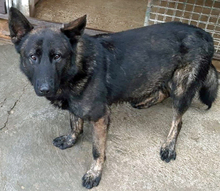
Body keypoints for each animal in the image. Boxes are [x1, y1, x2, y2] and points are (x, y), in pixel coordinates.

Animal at [8, 7, 218, 190]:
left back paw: (169, 145)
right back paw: (146, 101)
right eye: (33, 57)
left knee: (178, 121)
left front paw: (94, 173)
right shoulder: (76, 106)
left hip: (182, 87)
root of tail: (205, 33)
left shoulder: (100, 117)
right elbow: (75, 123)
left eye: (58, 56)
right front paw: (70, 139)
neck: (77, 67)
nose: (45, 89)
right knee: (164, 90)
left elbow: (97, 150)